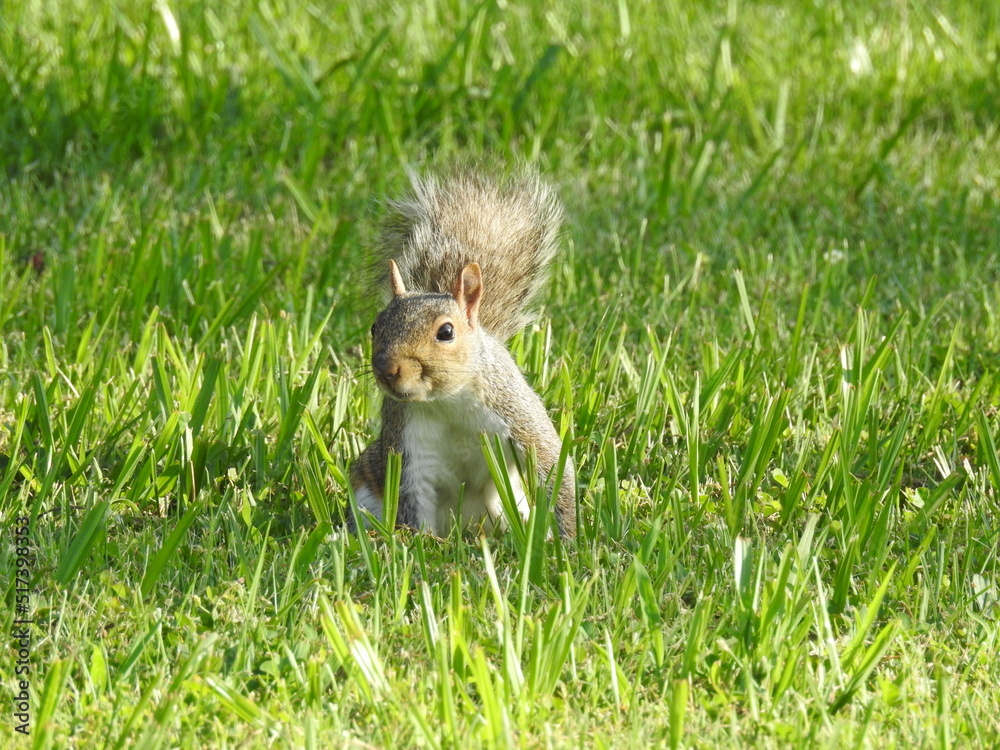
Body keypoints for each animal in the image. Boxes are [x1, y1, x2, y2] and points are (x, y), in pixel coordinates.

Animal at [349, 165, 577, 538]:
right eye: (374, 327)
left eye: (446, 332)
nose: (386, 369)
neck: (448, 399)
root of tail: (467, 526)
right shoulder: (410, 448)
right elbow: (412, 498)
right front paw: (421, 543)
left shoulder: (516, 416)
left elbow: (554, 469)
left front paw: (568, 539)